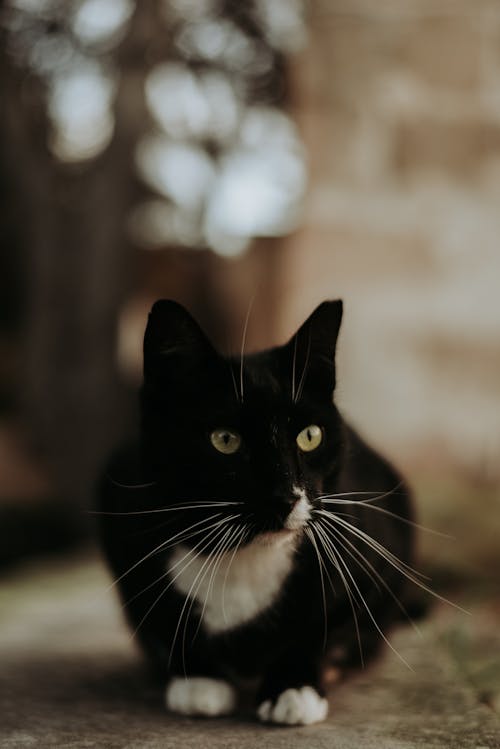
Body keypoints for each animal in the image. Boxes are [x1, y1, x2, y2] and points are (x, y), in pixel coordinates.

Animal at [97, 298, 414, 724]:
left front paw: (293, 688)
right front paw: (198, 681)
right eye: (225, 440)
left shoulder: (371, 555)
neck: (242, 554)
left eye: (310, 436)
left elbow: (325, 628)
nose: (284, 497)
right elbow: (161, 622)